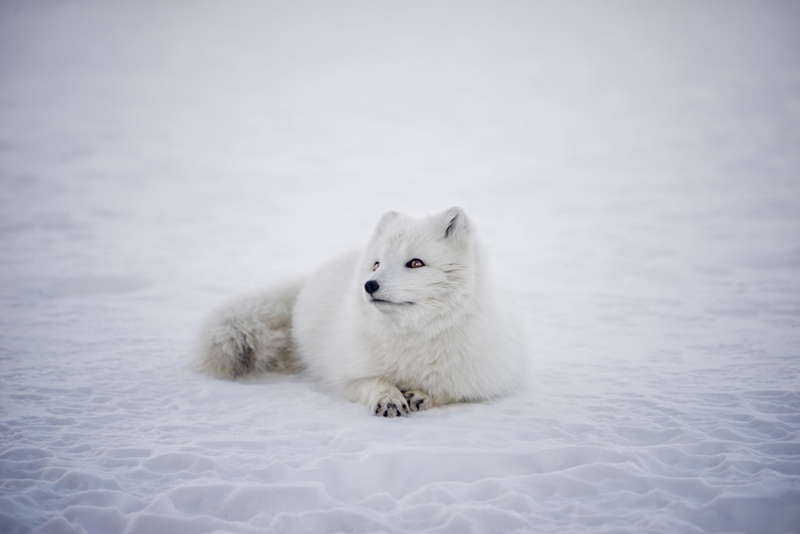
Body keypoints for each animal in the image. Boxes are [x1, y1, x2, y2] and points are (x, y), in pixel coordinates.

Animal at [194, 207, 531, 417]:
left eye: (416, 263)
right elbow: (371, 382)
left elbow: (451, 390)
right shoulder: (346, 373)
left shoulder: (483, 379)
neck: (412, 337)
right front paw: (388, 397)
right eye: (377, 264)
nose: (369, 285)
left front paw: (423, 395)